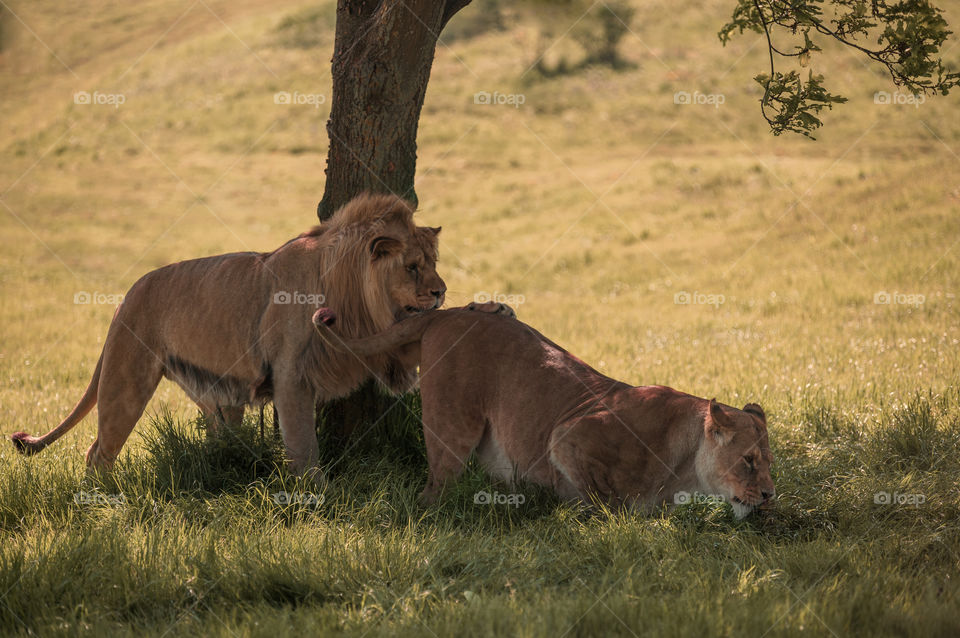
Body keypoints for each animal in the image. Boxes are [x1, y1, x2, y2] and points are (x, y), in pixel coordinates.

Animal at [10, 194, 446, 480]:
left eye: (433, 263)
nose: (441, 291)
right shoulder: (290, 375)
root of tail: (125, 298)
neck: (348, 289)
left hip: (216, 396)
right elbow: (303, 446)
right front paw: (316, 496)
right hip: (125, 381)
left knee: (218, 439)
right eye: (411, 267)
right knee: (98, 450)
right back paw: (102, 500)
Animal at [312, 306, 776, 520]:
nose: (771, 495)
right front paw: (590, 514)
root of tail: (447, 311)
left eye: (770, 463)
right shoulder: (570, 433)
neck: (684, 468)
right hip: (452, 429)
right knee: (432, 491)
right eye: (749, 461)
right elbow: (601, 498)